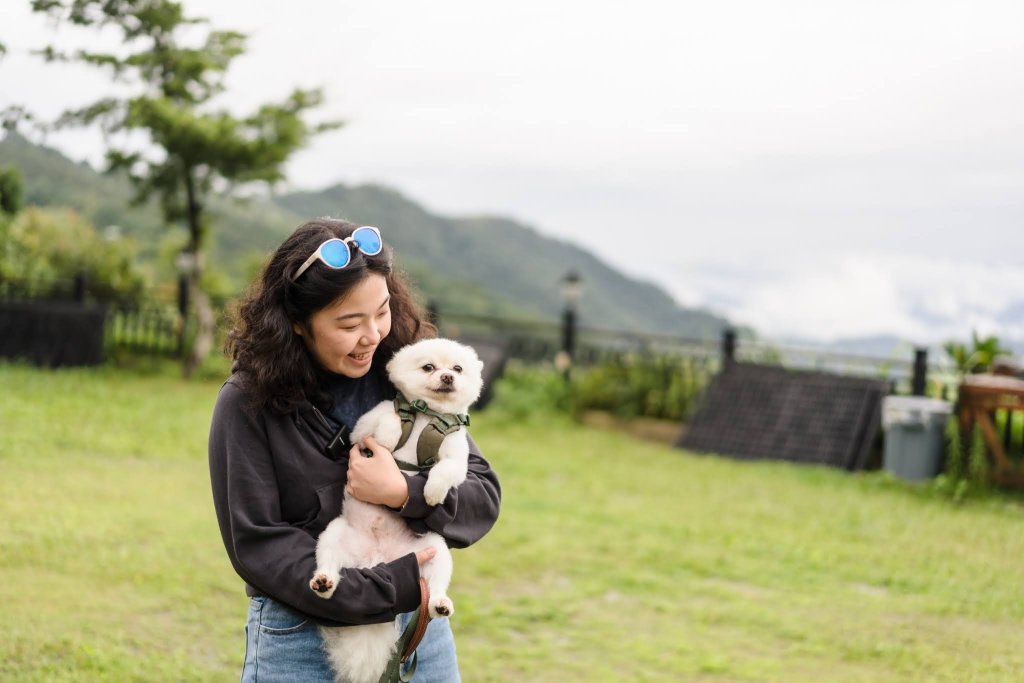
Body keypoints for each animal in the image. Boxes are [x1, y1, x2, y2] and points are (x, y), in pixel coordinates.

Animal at [307, 337, 483, 683]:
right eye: (428, 367)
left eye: (458, 369)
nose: (447, 377)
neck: (427, 416)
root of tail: (377, 561)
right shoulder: (363, 428)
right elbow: (386, 419)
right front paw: (390, 437)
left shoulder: (457, 456)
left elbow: (445, 470)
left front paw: (432, 492)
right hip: (333, 535)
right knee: (328, 564)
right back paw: (323, 582)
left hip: (434, 551)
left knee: (436, 586)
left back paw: (440, 604)